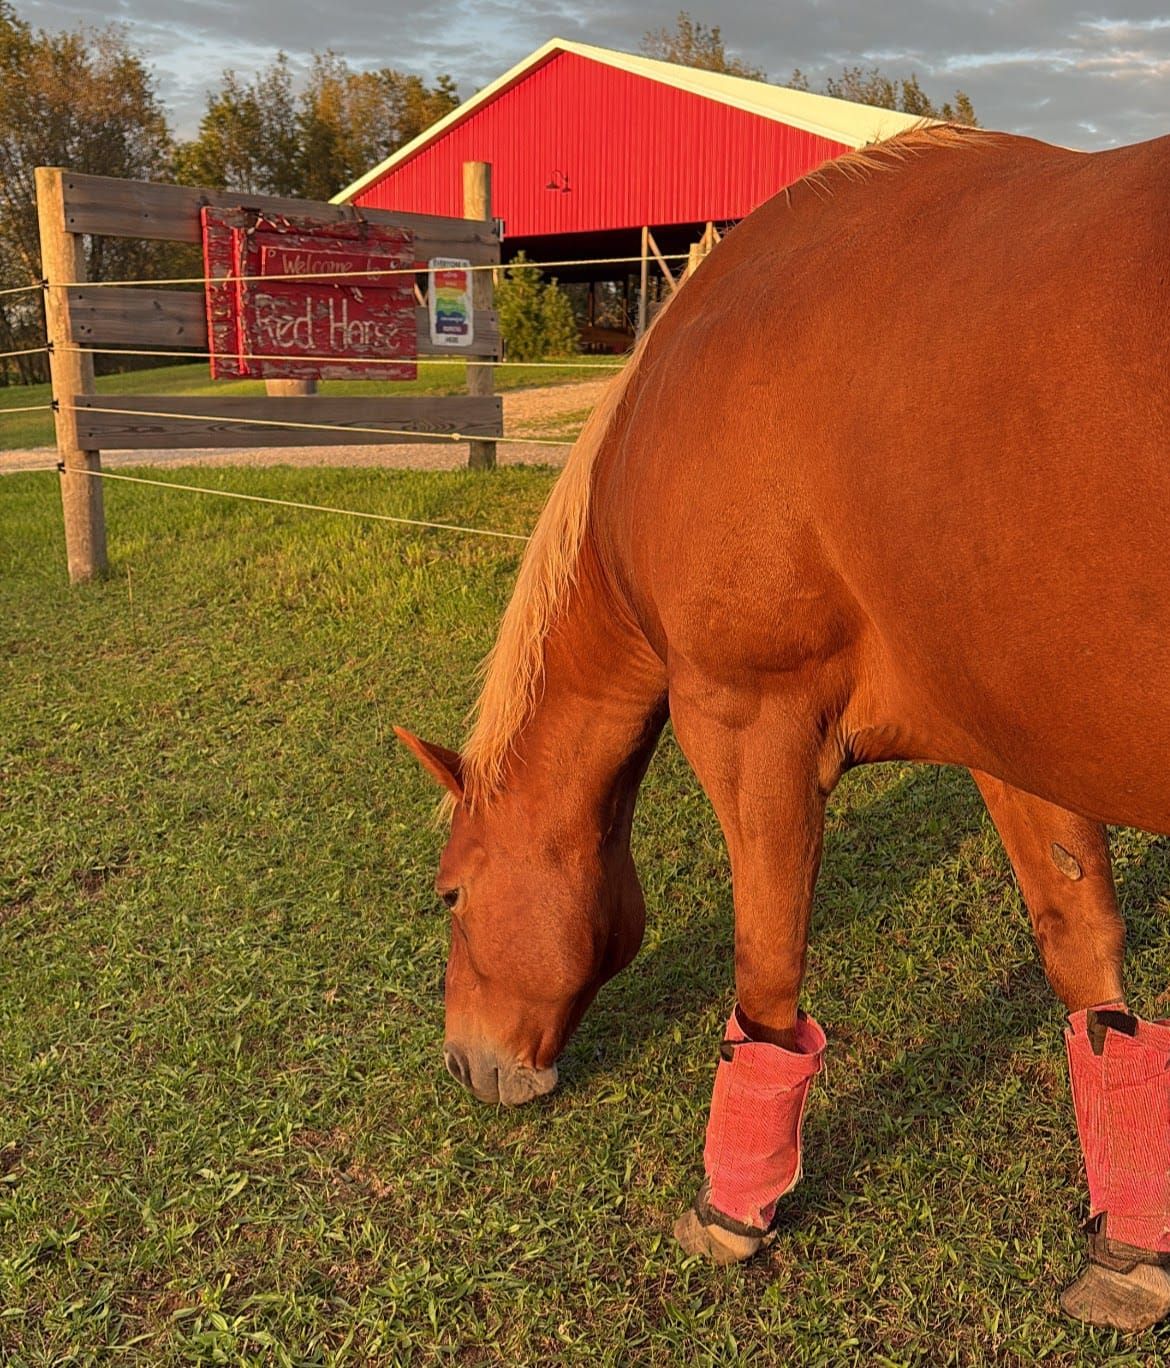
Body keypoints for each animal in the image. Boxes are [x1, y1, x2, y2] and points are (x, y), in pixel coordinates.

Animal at [397, 125, 1170, 1333]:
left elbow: (764, 980)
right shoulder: (1014, 743)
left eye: (450, 895)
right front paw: (1132, 1248)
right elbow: (1089, 972)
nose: (465, 1065)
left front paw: (734, 1211)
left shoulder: (749, 723)